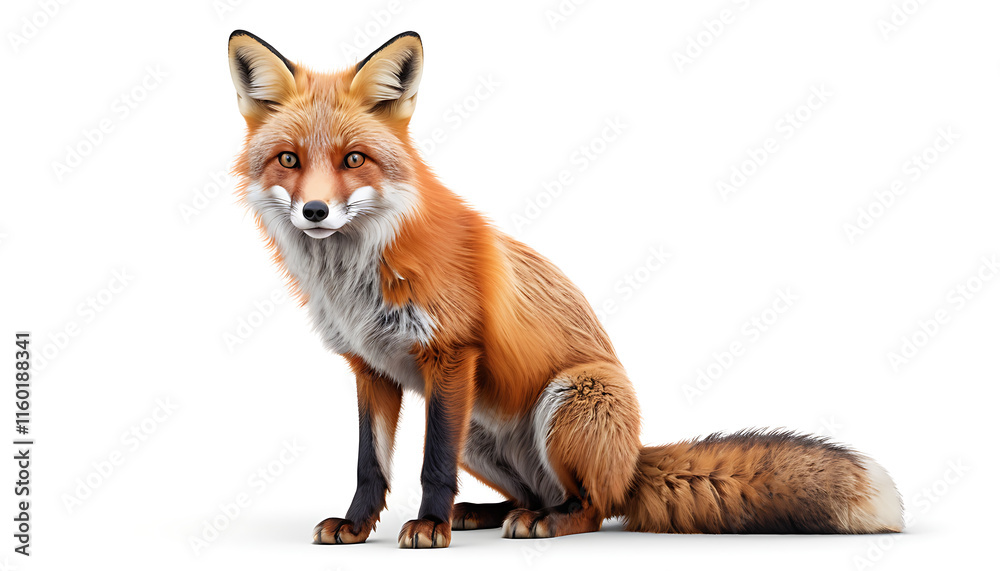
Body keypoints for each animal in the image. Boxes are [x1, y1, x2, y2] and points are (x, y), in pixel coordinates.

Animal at [226, 30, 903, 548]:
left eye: (353, 160)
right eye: (289, 160)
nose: (315, 211)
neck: (357, 275)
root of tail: (631, 460)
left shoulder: (450, 354)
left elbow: (430, 465)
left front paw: (427, 526)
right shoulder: (372, 367)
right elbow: (372, 464)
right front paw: (358, 525)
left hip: (568, 398)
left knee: (593, 507)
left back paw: (544, 522)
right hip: (481, 430)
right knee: (534, 492)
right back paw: (494, 513)